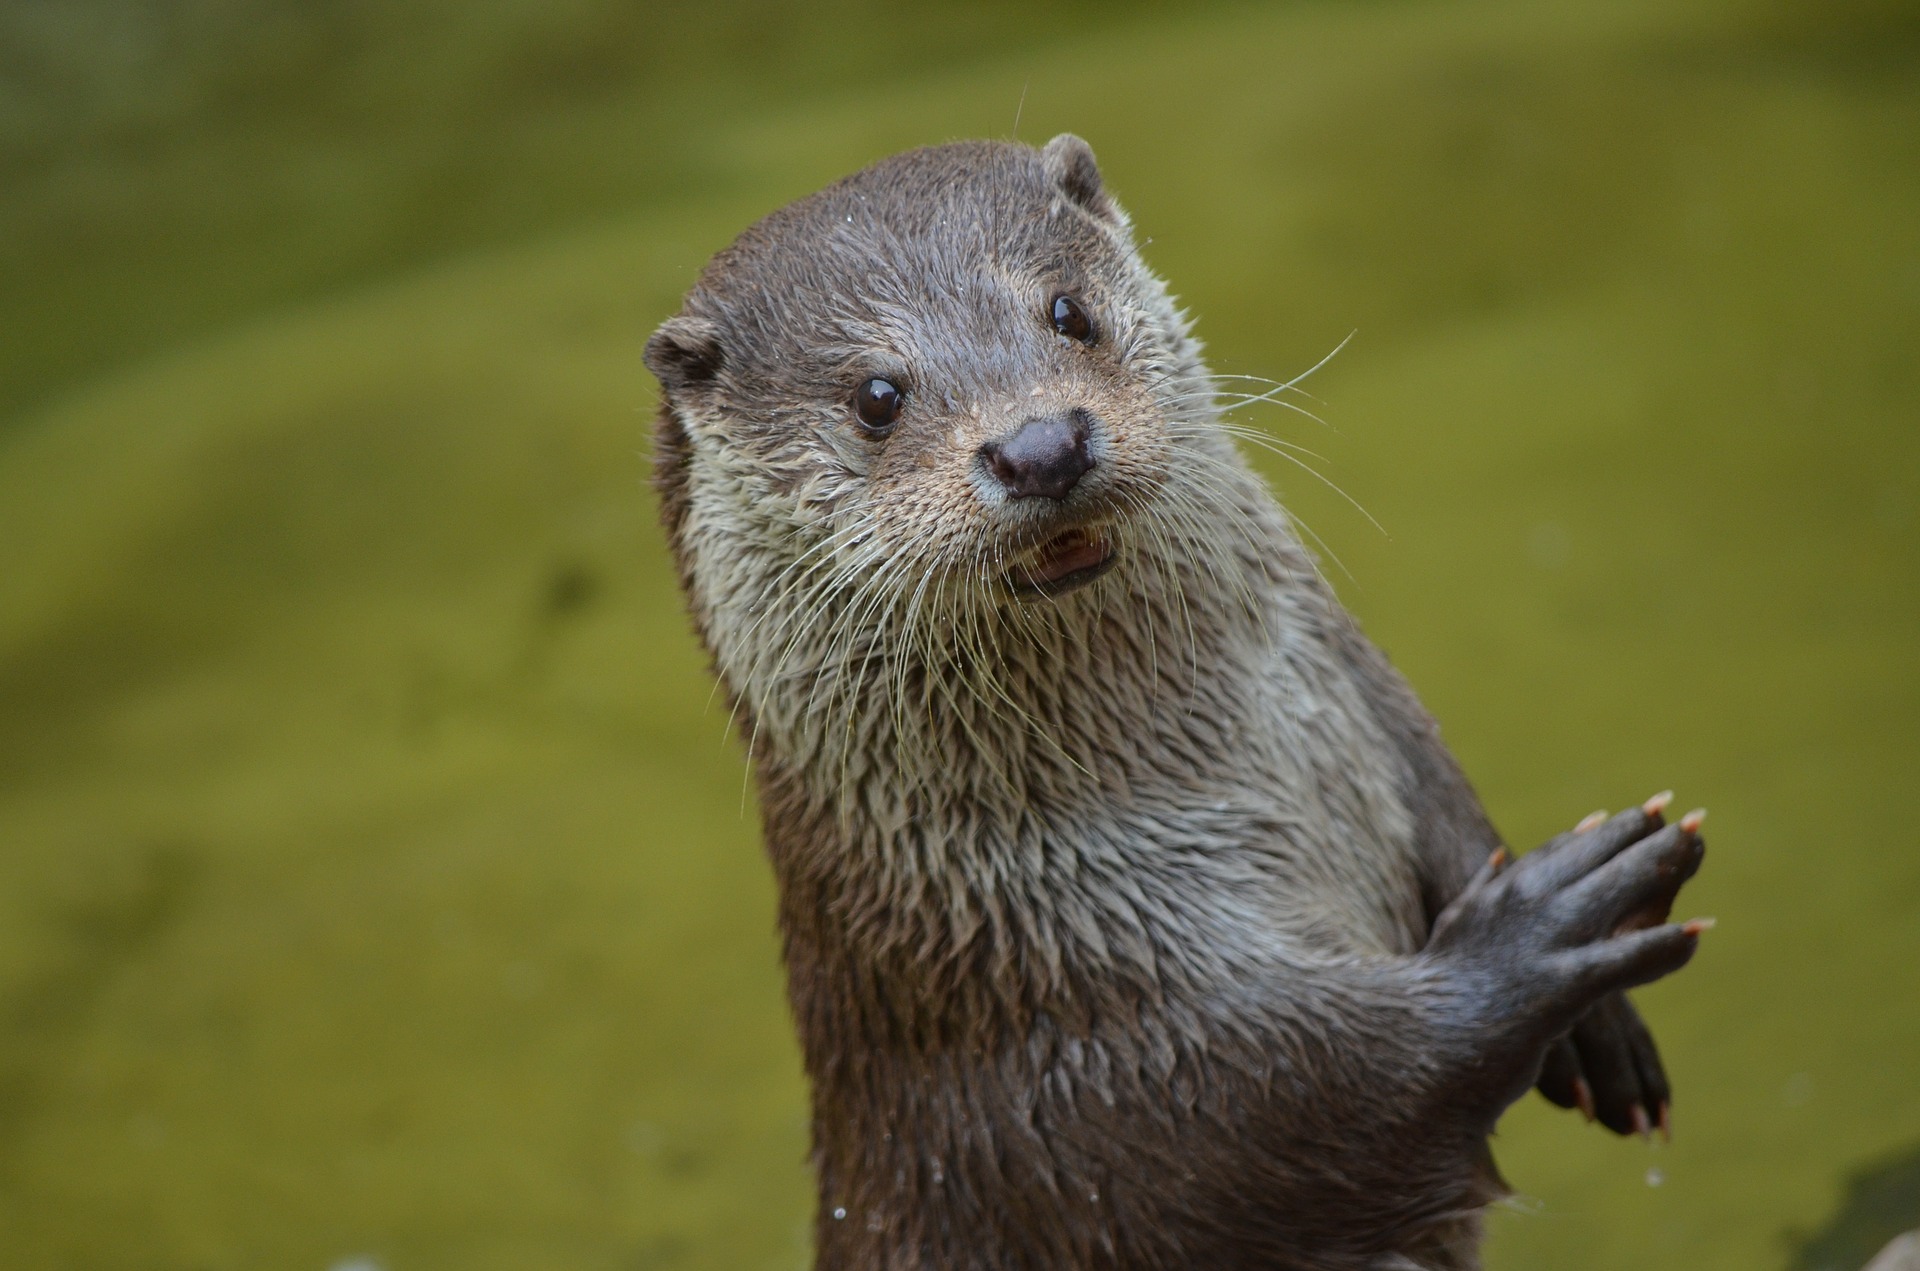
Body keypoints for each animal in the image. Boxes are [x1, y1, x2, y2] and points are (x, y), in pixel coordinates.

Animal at [645, 134, 1712, 1267]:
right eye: (876, 396)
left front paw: (1601, 1024)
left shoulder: (1365, 701)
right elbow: (1292, 1108)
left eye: (1068, 312)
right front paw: (1543, 933)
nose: (1039, 445)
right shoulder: (1066, 1064)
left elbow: (1443, 791)